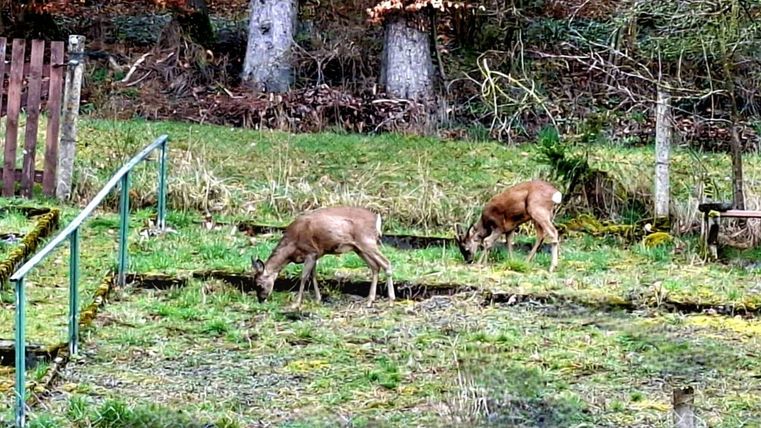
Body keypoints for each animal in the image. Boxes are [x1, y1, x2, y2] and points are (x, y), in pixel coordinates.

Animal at [251, 206, 395, 308]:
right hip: (359, 248)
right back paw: (370, 300)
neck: (291, 247)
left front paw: (296, 304)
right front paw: (318, 299)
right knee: (375, 267)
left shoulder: (310, 252)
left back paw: (391, 300)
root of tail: (377, 218)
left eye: (259, 284)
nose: (260, 300)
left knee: (386, 263)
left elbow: (304, 277)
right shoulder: (316, 254)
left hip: (367, 242)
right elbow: (313, 276)